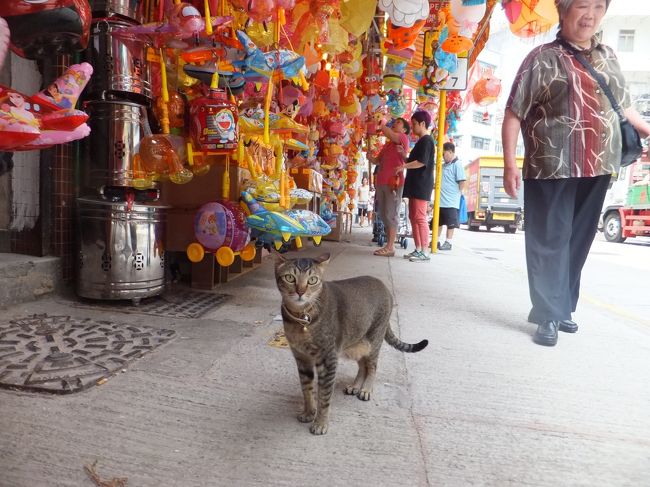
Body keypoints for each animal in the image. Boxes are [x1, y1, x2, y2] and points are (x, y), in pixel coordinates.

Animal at [276, 254, 428, 436]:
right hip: (356, 344)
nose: (300, 292)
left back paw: (366, 389)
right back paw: (355, 386)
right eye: (290, 278)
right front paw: (308, 412)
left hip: (373, 342)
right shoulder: (302, 359)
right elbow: (307, 390)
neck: (301, 318)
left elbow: (324, 397)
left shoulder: (328, 359)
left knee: (372, 367)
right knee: (362, 366)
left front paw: (320, 423)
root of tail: (384, 286)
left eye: (312, 280)